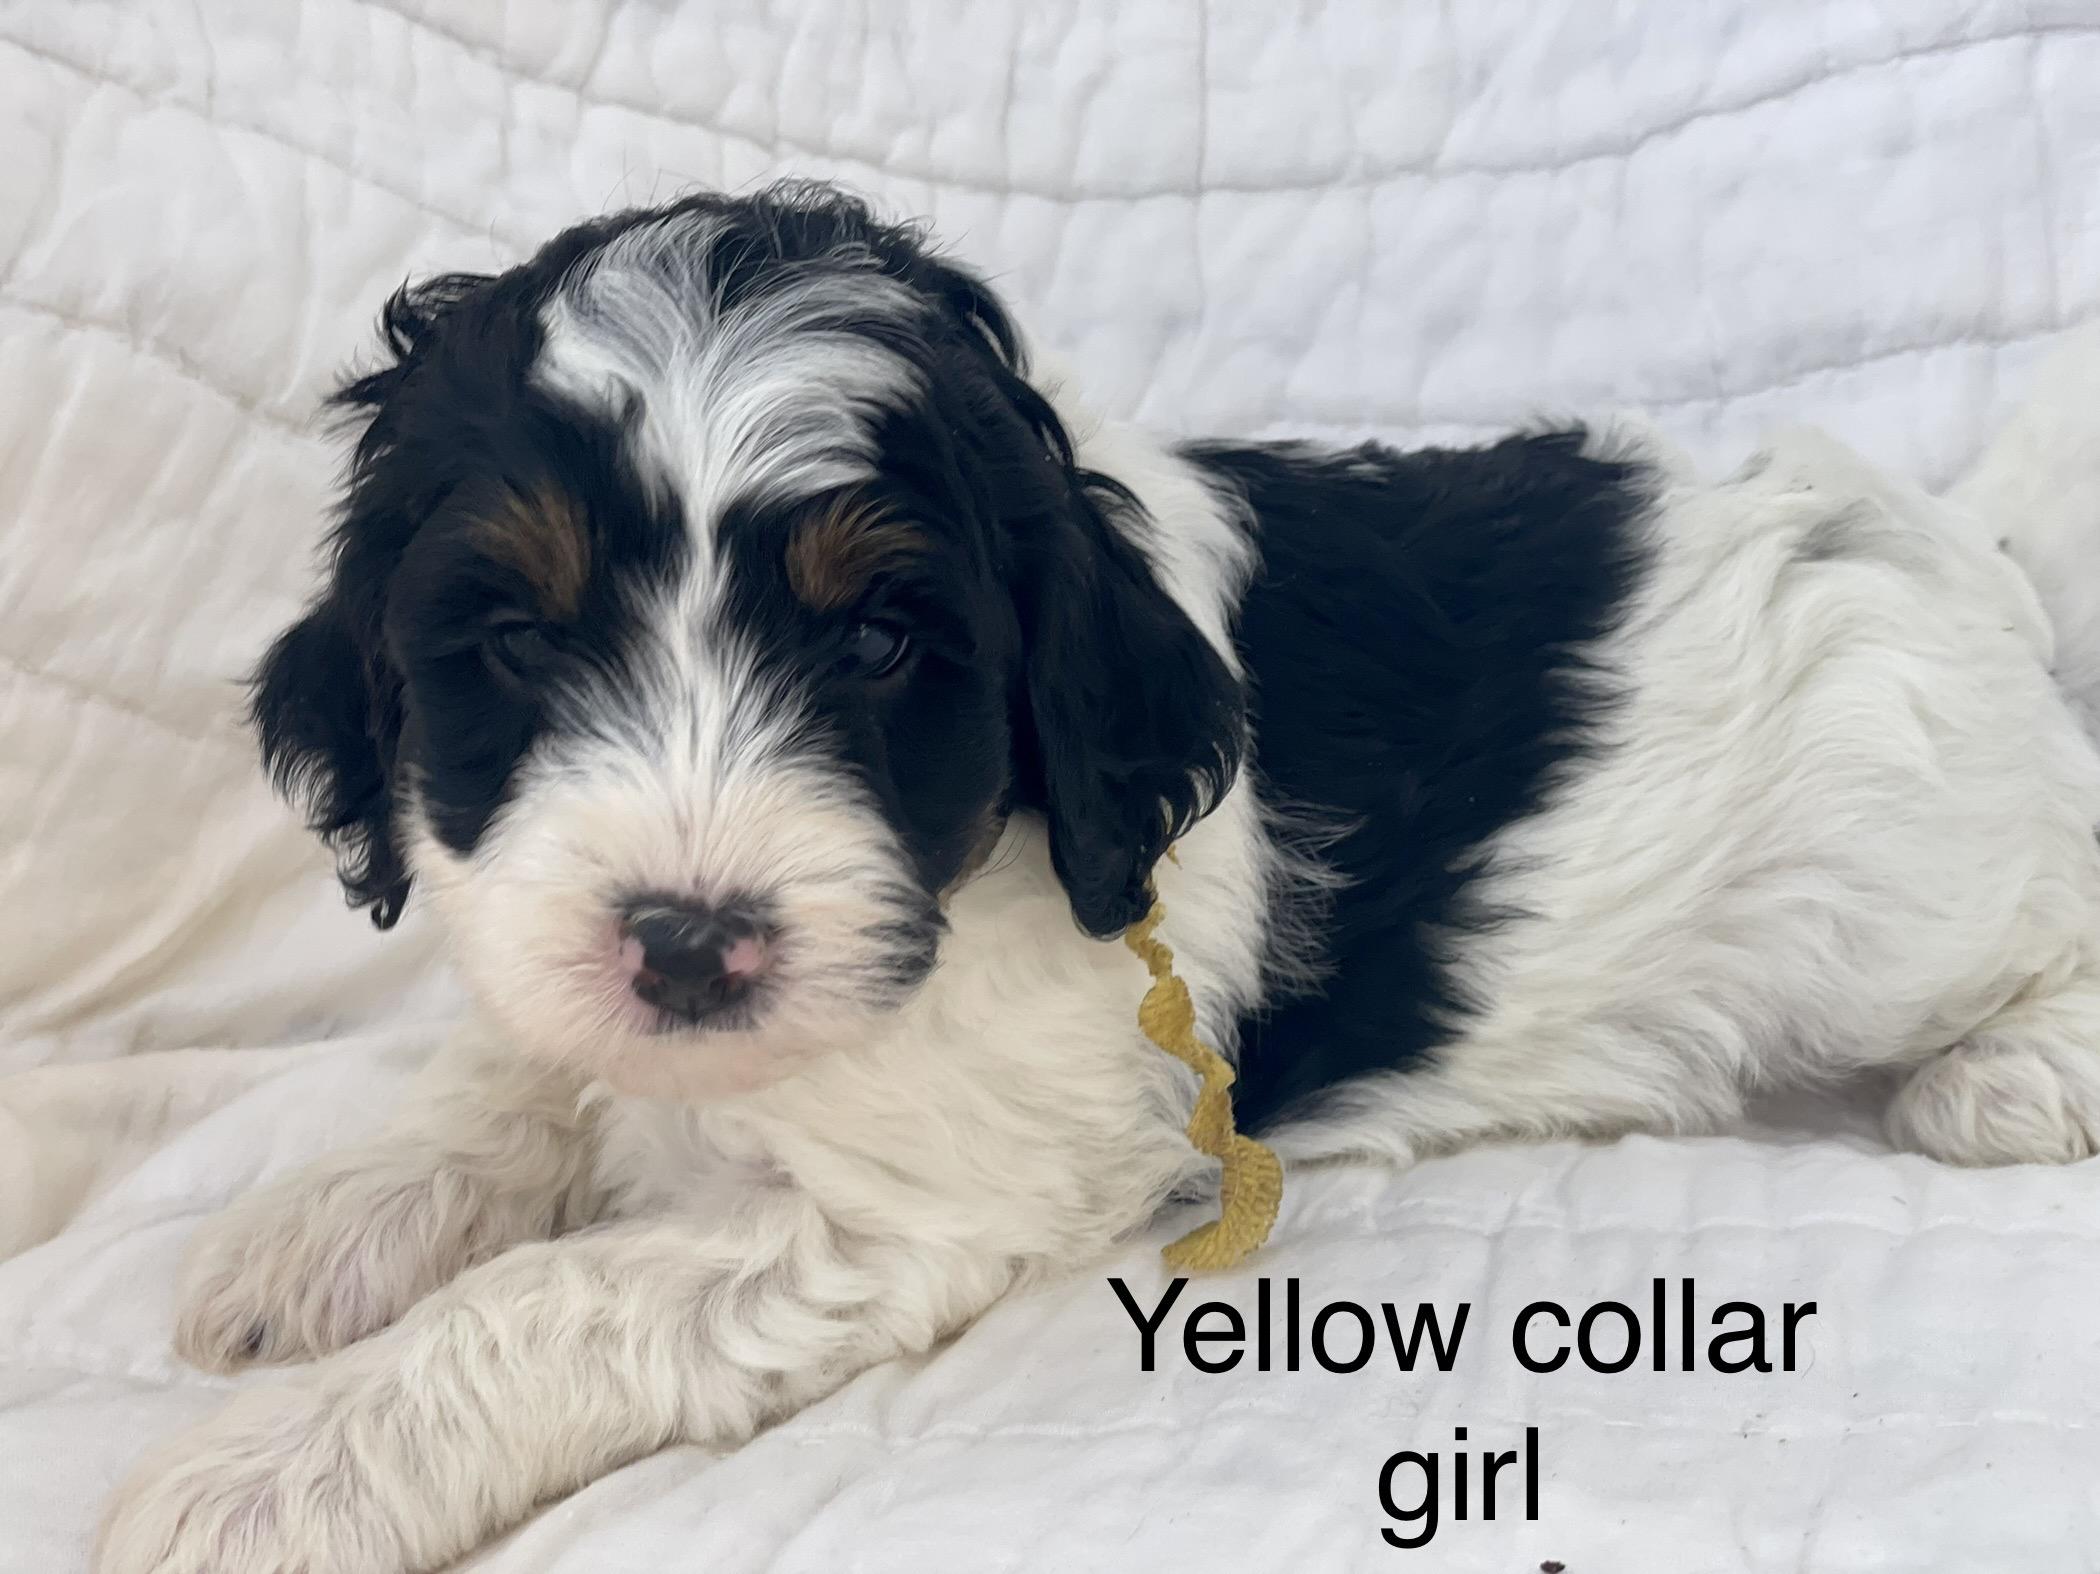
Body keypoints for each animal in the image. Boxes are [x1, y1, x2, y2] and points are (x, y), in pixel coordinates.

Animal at [97, 183, 2100, 1573]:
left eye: (883, 642)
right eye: (513, 636)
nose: (689, 944)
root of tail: (1962, 548)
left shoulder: (905, 1211)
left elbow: (551, 1301)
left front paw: (271, 1471)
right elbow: (509, 1060)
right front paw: (324, 1222)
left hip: (1903, 884)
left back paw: (2018, 1071)